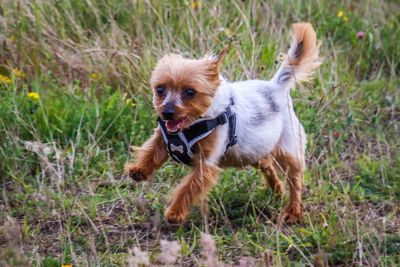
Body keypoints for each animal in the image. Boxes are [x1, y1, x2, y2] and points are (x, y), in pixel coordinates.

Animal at [125, 22, 322, 224]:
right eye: (160, 89)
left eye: (190, 92)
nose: (167, 113)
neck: (192, 125)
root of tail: (275, 87)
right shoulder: (164, 138)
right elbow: (150, 150)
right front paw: (139, 170)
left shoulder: (206, 163)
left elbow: (189, 187)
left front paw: (175, 212)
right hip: (252, 150)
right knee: (267, 164)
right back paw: (276, 189)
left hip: (287, 150)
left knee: (295, 180)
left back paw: (293, 211)